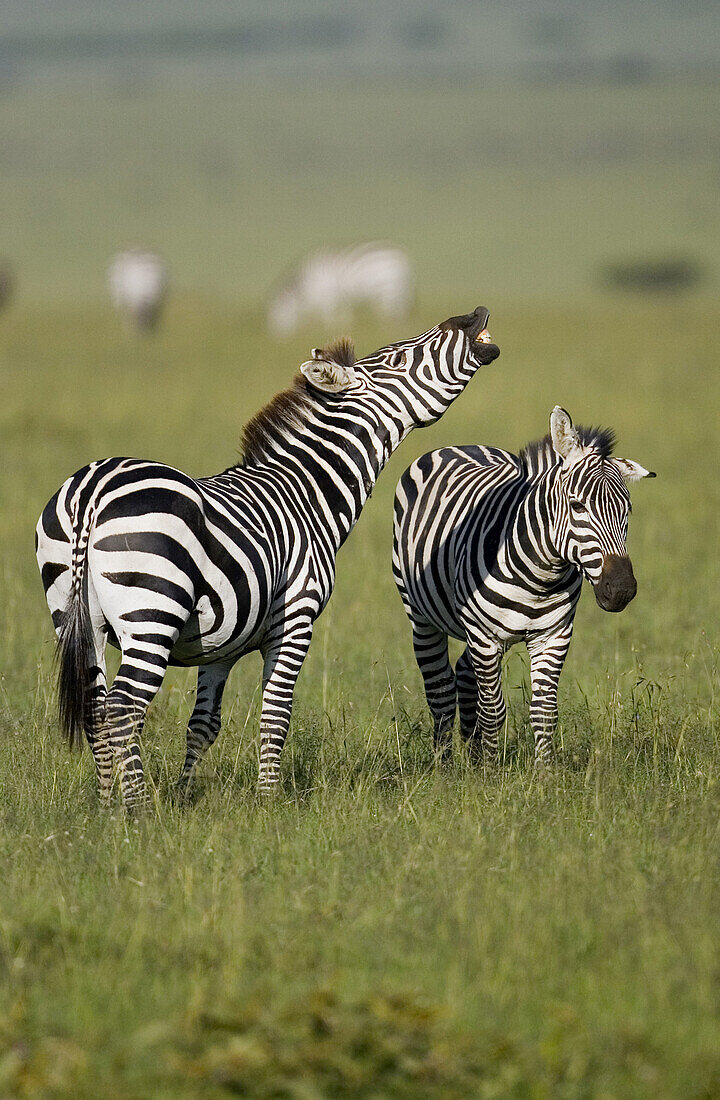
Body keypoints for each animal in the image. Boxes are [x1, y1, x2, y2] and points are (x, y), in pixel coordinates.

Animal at [36, 305, 501, 805]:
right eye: (399, 358)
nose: (474, 314)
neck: (308, 493)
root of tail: (91, 489)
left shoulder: (219, 642)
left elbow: (203, 724)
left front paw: (185, 793)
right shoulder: (295, 620)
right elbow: (276, 715)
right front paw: (268, 801)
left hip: (76, 616)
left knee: (95, 710)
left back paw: (108, 806)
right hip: (151, 615)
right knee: (123, 711)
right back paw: (137, 809)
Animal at [266, 243, 413, 336]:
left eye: (278, 313)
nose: (276, 337)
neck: (307, 283)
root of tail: (402, 256)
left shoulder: (326, 293)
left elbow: (327, 314)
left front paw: (326, 330)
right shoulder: (338, 296)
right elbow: (343, 313)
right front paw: (345, 327)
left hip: (388, 286)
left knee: (391, 310)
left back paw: (386, 329)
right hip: (397, 288)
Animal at [391, 404, 655, 765]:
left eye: (627, 510)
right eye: (577, 505)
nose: (621, 590)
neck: (540, 576)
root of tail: (462, 446)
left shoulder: (553, 636)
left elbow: (544, 711)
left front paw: (543, 772)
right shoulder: (484, 637)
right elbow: (493, 711)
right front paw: (489, 771)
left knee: (464, 676)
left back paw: (468, 755)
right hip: (422, 618)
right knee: (440, 690)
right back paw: (443, 764)